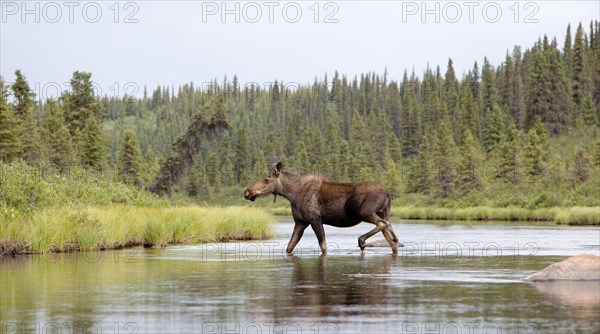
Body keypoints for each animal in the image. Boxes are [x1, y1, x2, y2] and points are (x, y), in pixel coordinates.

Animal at [241, 162, 400, 253]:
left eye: (266, 179)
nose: (247, 191)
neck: (292, 194)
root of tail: (387, 193)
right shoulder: (300, 222)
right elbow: (289, 247)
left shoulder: (315, 219)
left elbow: (323, 246)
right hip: (383, 212)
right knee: (392, 238)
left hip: (364, 212)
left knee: (384, 225)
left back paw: (361, 240)